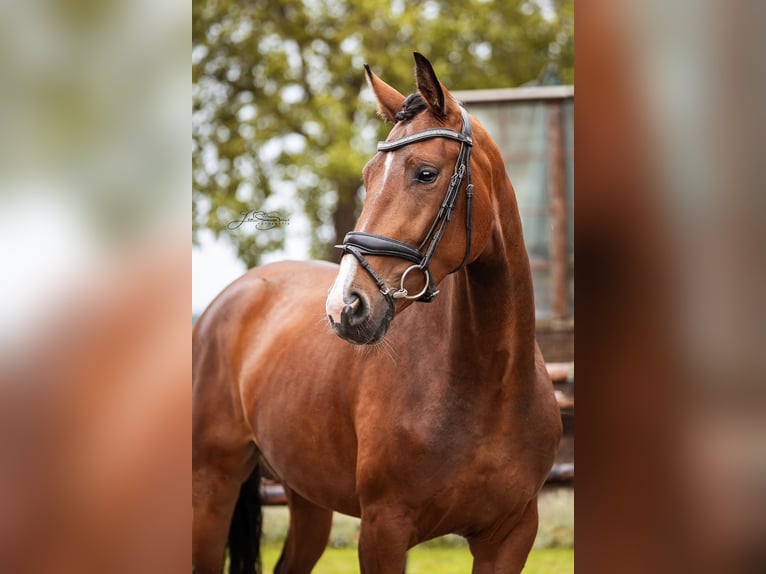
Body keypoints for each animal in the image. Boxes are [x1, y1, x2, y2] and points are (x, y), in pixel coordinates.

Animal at [194, 51, 564, 572]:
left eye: (425, 173)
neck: (491, 384)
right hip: (212, 485)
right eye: (368, 177)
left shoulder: (511, 537)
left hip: (306, 497)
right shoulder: (383, 530)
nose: (345, 307)